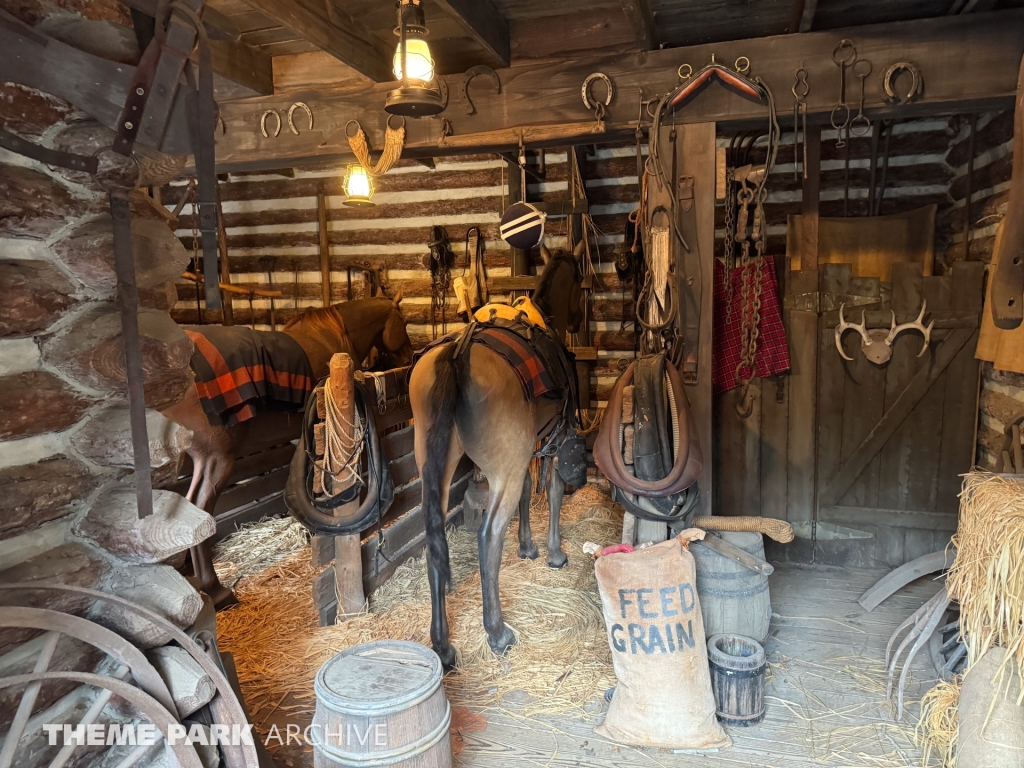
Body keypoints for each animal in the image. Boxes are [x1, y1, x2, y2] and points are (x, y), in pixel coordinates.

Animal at [407, 244, 585, 667]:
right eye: (580, 282)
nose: (579, 319)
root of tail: (457, 353)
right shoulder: (552, 442)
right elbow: (553, 493)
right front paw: (553, 553)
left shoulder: (525, 454)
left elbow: (527, 497)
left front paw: (527, 547)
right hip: (503, 471)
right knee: (488, 536)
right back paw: (497, 632)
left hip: (438, 470)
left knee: (434, 541)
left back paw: (443, 646)